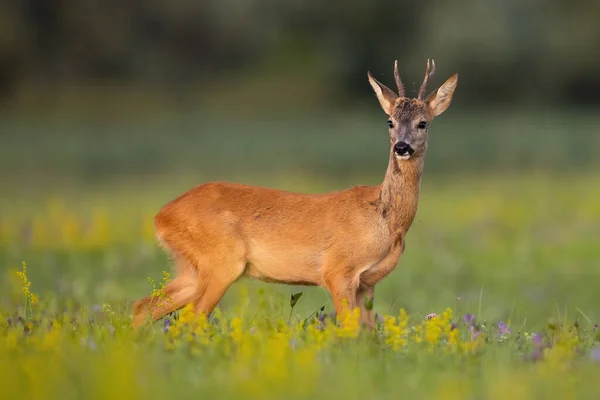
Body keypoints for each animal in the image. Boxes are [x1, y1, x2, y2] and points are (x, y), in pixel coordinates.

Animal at [132, 58, 460, 328]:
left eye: (423, 123)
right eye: (389, 121)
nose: (402, 147)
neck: (385, 219)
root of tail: (162, 216)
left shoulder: (368, 283)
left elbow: (368, 333)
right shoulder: (337, 270)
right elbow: (351, 330)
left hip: (190, 268)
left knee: (143, 307)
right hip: (221, 262)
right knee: (191, 317)